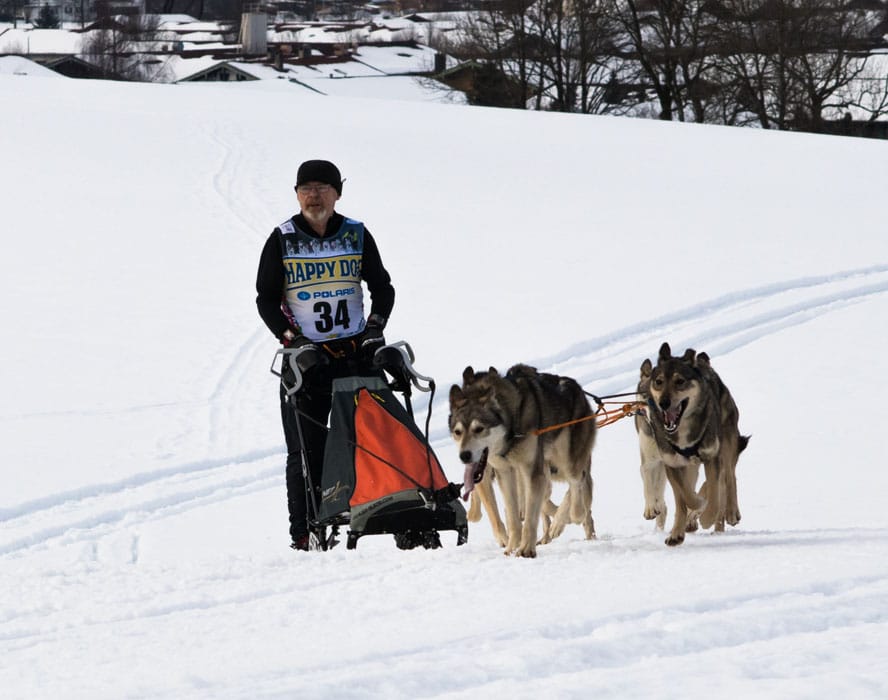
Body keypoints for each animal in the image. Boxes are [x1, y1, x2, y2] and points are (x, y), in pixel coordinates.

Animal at [450, 366, 596, 556]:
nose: (464, 455)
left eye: (479, 429)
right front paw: (512, 547)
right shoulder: (503, 473)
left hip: (567, 460)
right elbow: (511, 515)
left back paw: (570, 516)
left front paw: (526, 549)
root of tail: (578, 388)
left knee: (577, 482)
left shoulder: (532, 471)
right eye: (457, 432)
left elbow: (531, 514)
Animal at [636, 344, 752, 548]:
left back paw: (729, 512)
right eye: (658, 382)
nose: (663, 403)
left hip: (726, 444)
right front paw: (678, 529)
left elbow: (713, 492)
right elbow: (684, 497)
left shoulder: (711, 457)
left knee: (729, 477)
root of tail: (704, 363)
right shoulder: (671, 463)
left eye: (680, 381)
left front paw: (706, 515)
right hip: (689, 464)